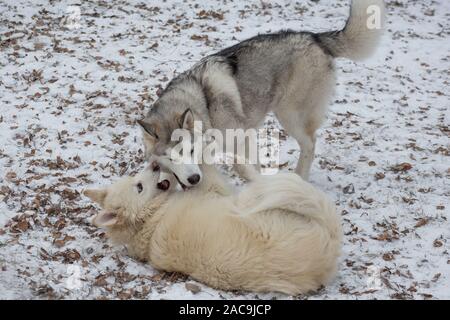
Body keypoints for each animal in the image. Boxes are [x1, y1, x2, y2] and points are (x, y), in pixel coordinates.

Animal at [84, 164, 342, 294]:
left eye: (136, 179)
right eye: (139, 186)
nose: (155, 164)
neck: (151, 219)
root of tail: (330, 247)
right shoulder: (215, 189)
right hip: (251, 202)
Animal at [137, 0, 384, 182]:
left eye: (189, 151)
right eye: (171, 158)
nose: (194, 180)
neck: (204, 107)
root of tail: (314, 37)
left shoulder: (240, 136)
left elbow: (240, 165)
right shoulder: (246, 136)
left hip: (289, 116)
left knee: (310, 145)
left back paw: (299, 178)